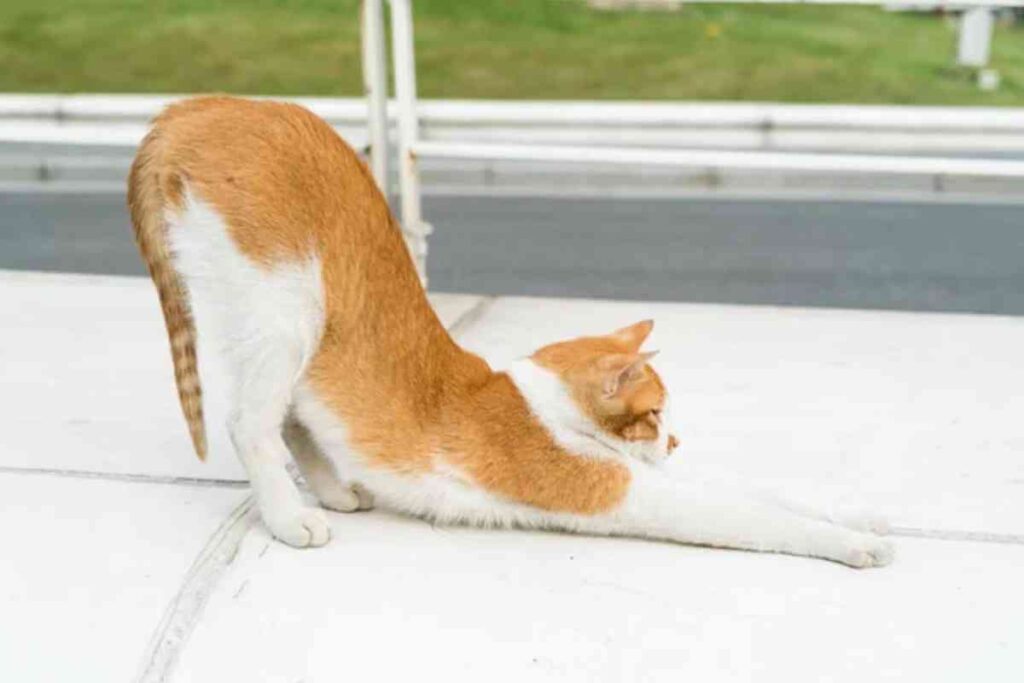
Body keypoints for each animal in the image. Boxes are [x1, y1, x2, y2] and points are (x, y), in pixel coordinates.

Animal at [130, 94, 897, 565]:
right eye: (656, 415)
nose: (676, 440)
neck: (544, 405)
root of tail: (202, 104)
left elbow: (769, 491)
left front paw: (859, 513)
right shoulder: (622, 491)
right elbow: (755, 516)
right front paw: (853, 544)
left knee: (291, 414)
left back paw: (335, 490)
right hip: (284, 305)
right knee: (250, 421)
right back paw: (292, 518)